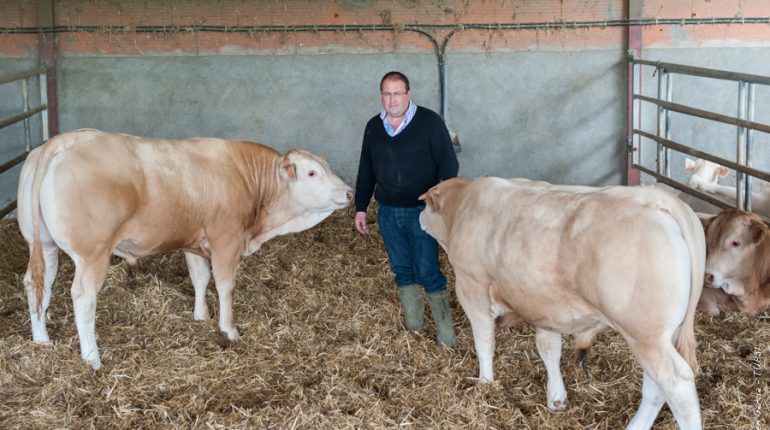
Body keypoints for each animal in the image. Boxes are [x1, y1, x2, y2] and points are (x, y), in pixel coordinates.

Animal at [18, 128, 352, 370]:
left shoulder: (194, 241)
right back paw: (92, 358)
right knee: (83, 297)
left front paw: (200, 315)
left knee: (37, 285)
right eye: (312, 173)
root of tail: (64, 140)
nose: (349, 193)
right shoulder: (226, 239)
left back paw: (41, 339)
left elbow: (199, 278)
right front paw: (229, 329)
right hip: (92, 254)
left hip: (44, 245)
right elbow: (225, 285)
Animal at [420, 176, 704, 428]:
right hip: (661, 336)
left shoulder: (471, 287)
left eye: (425, 205)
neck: (462, 206)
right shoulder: (544, 304)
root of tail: (659, 199)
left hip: (647, 336)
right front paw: (556, 397)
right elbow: (548, 348)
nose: (420, 218)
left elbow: (484, 341)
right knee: (656, 388)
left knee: (676, 383)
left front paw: (485, 383)